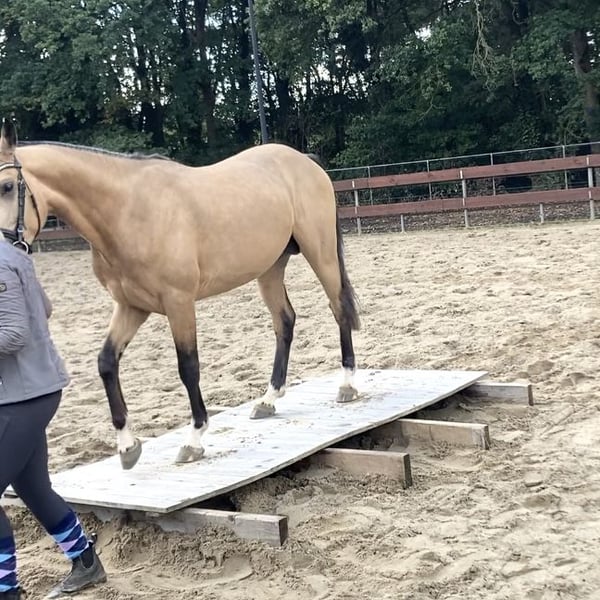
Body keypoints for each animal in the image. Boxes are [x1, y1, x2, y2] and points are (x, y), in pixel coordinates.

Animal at [0, 118, 361, 470]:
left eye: (6, 187)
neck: (126, 211)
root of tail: (304, 160)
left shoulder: (179, 303)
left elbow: (188, 367)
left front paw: (194, 439)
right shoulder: (131, 306)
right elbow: (106, 363)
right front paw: (127, 446)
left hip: (321, 254)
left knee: (338, 307)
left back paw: (347, 385)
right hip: (269, 269)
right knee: (284, 322)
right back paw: (268, 399)